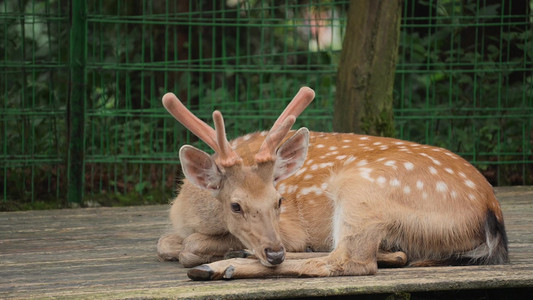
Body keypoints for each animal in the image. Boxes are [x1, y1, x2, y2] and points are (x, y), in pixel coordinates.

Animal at [157, 87, 508, 282]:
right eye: (235, 205)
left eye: (279, 201)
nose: (274, 252)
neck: (188, 211)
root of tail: (491, 210)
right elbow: (163, 243)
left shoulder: (290, 230)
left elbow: (188, 246)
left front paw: (214, 252)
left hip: (362, 188)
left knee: (350, 261)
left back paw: (220, 266)